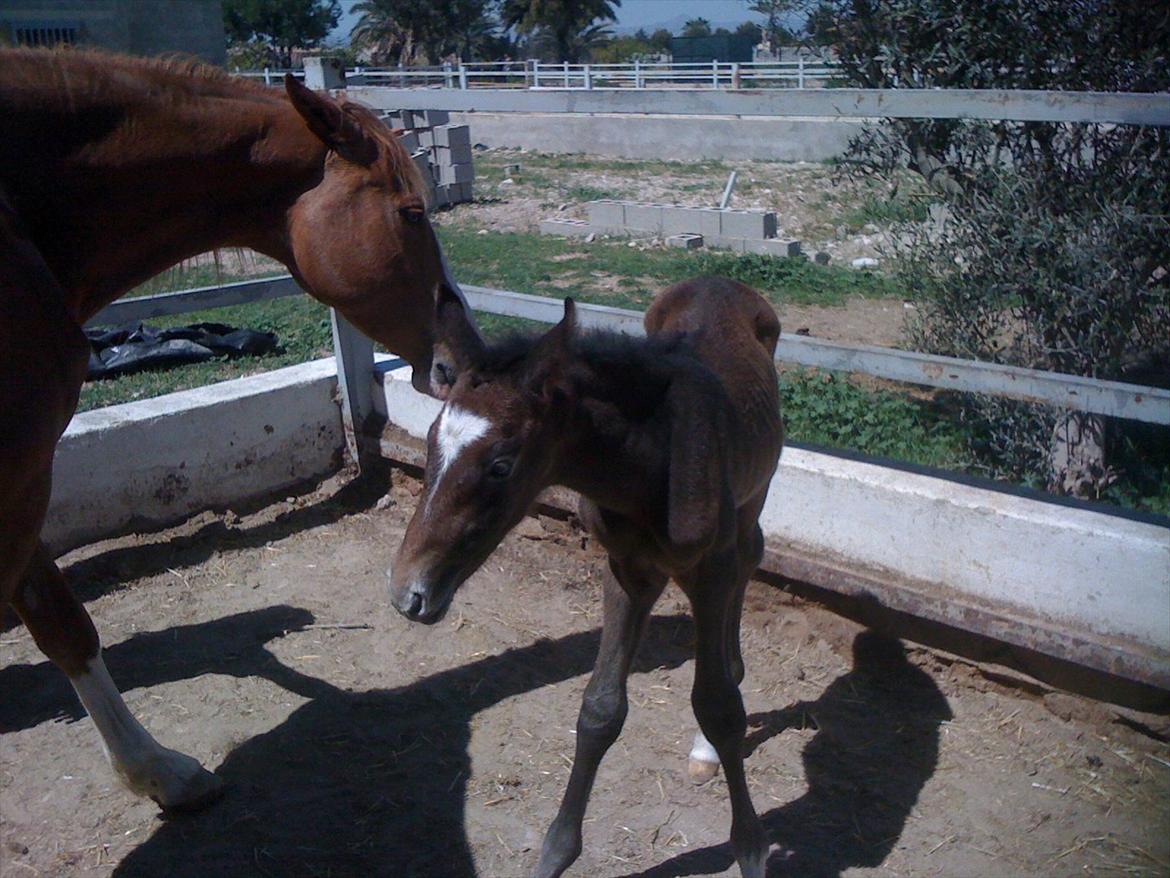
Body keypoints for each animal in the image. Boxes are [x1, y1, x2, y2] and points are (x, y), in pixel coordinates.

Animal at [2, 49, 475, 810]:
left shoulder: (19, 475)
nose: (470, 354)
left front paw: (156, 770)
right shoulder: (14, 476)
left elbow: (61, 621)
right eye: (409, 212)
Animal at [388, 278, 781, 875]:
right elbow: (599, 711)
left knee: (750, 554)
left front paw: (752, 849)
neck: (652, 466)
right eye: (431, 442)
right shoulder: (626, 572)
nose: (408, 593)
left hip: (754, 492)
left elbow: (719, 707)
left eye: (501, 465)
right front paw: (555, 852)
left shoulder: (709, 570)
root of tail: (722, 281)